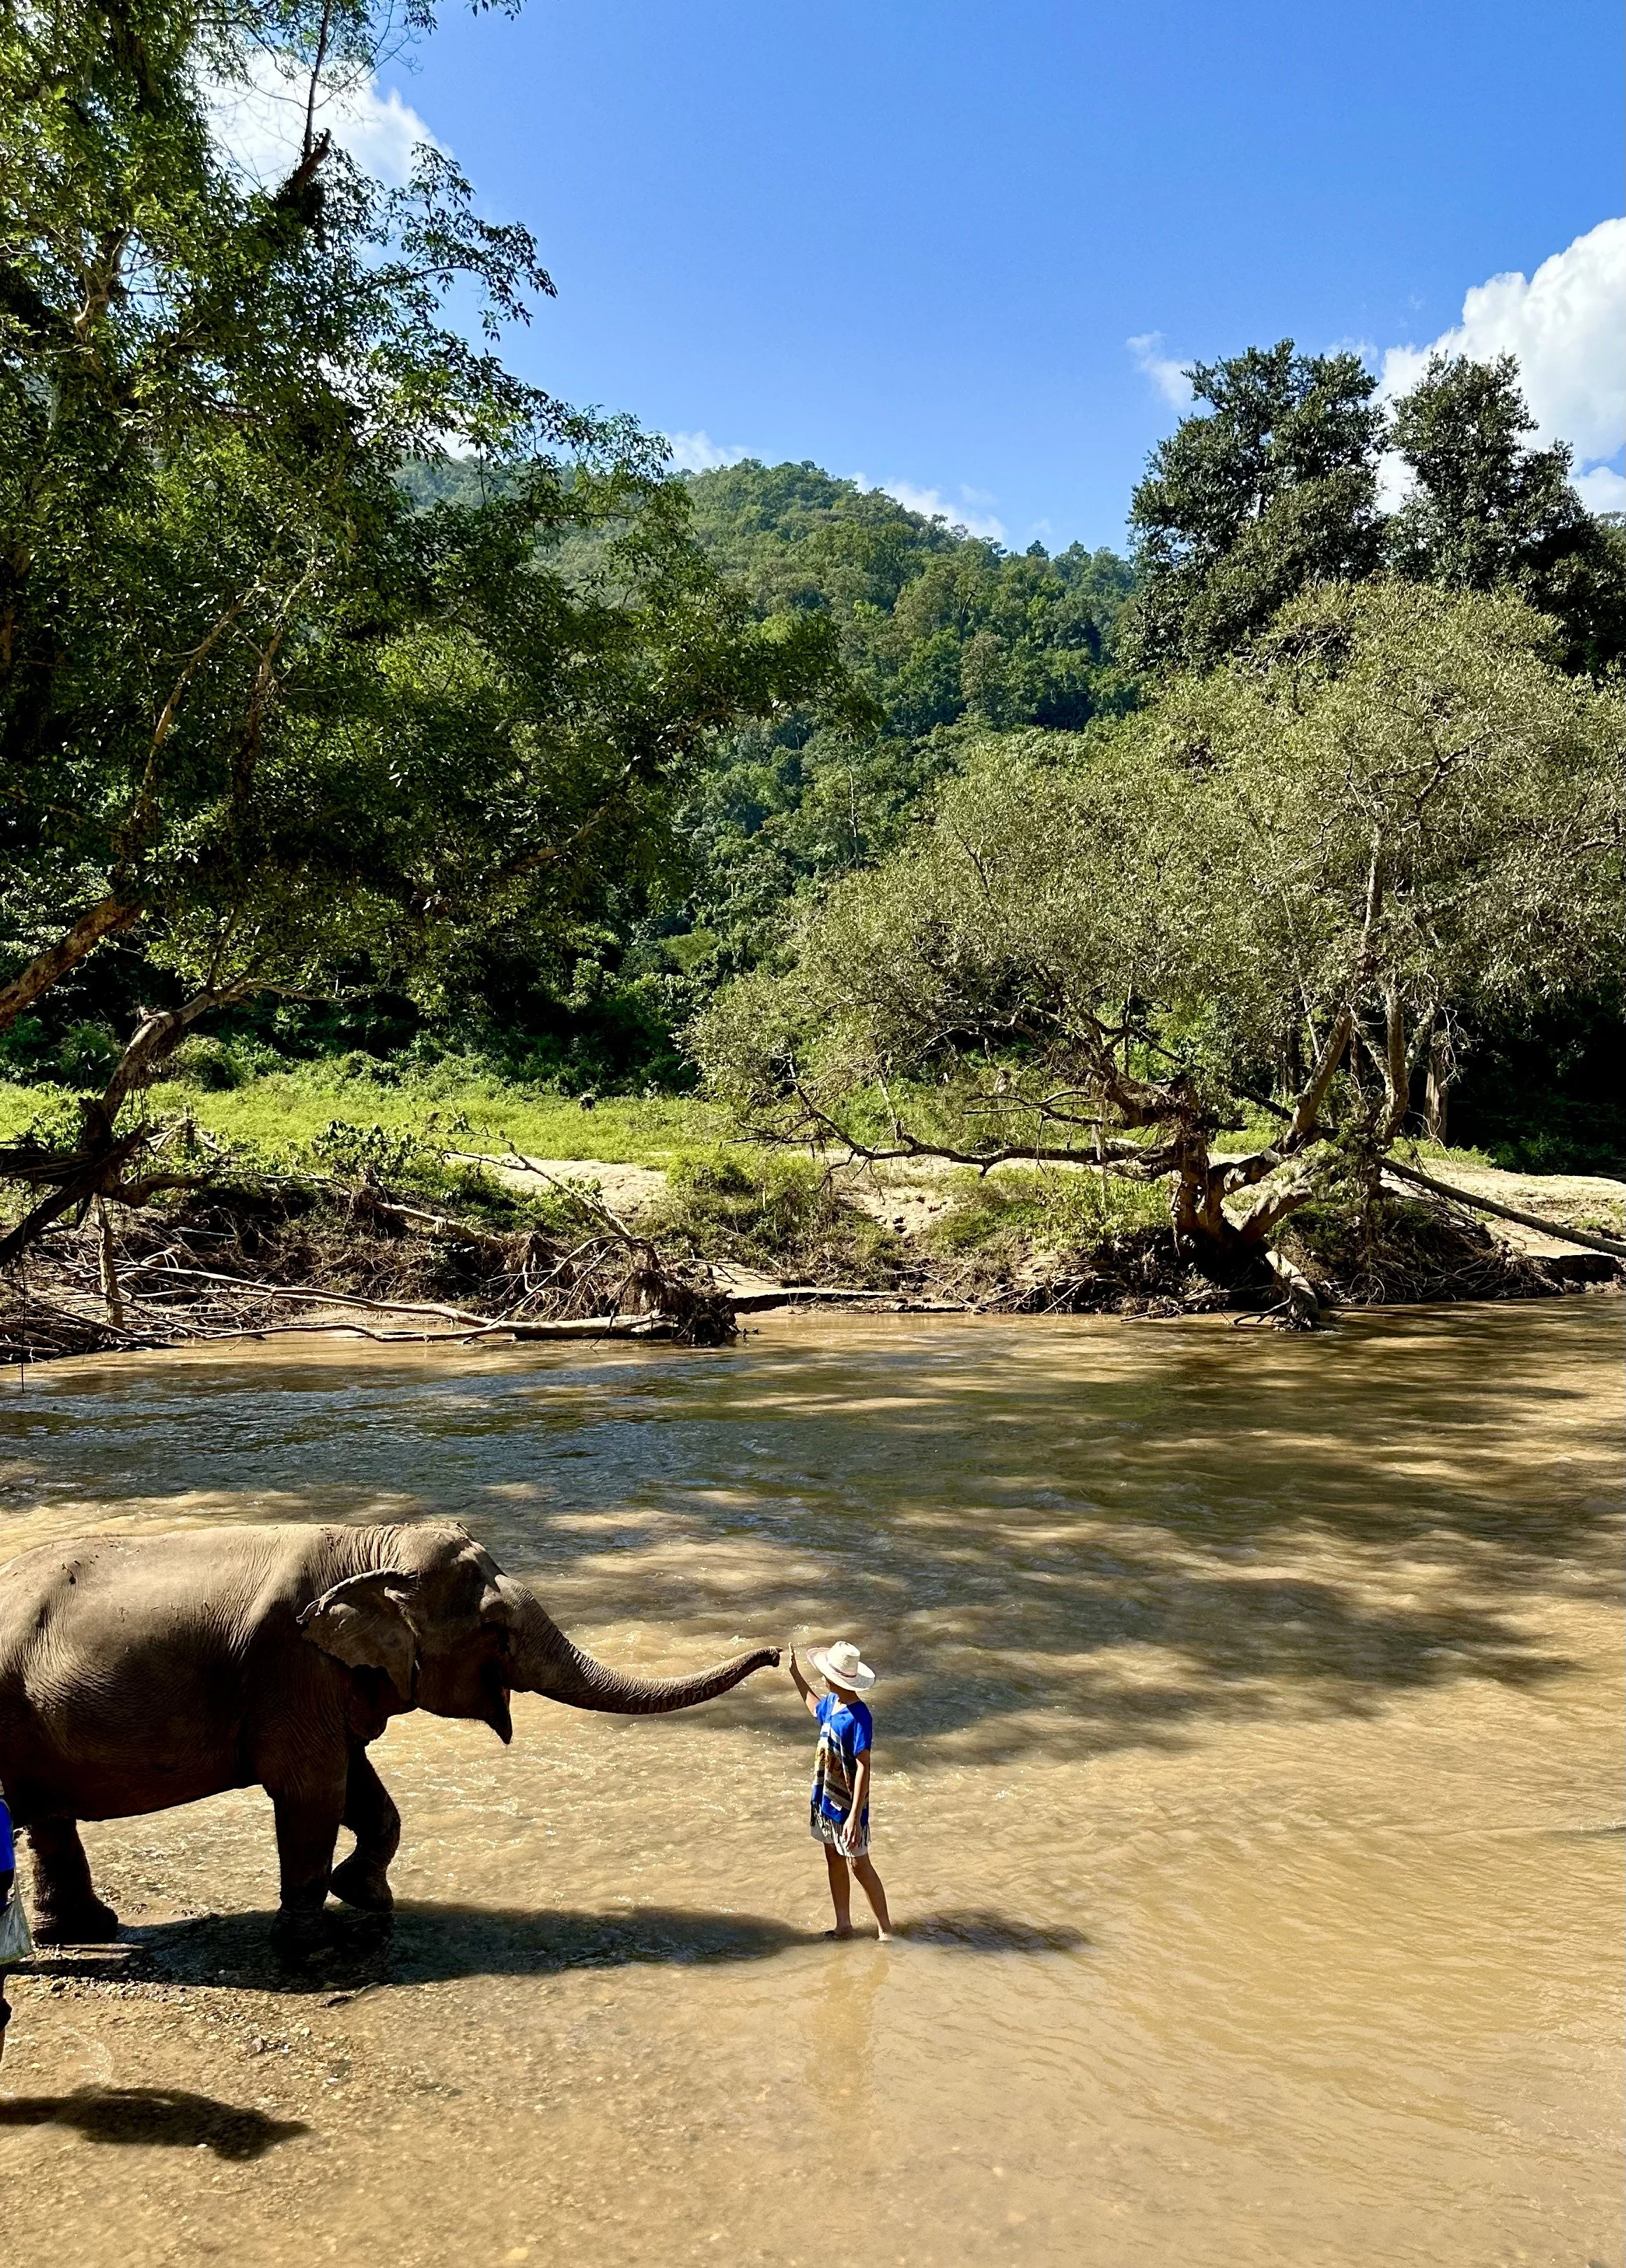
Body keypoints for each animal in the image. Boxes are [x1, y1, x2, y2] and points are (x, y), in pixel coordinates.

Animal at [0, 1520, 778, 1945]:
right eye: (494, 1628)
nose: (776, 1651)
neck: (364, 1547)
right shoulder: (293, 1664)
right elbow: (313, 1789)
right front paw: (310, 1941)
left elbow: (362, 1788)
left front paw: (364, 1895)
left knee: (46, 1819)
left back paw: (85, 1931)